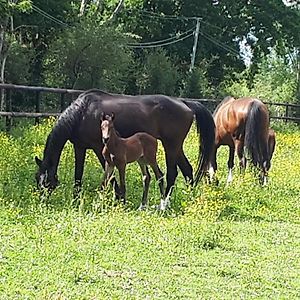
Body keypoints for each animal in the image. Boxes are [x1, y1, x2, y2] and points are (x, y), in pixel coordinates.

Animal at [34, 89, 216, 205]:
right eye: (37, 179)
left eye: (47, 182)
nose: (42, 202)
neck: (83, 113)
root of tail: (185, 103)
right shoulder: (80, 147)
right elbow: (78, 175)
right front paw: (76, 199)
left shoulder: (99, 149)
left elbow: (110, 176)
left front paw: (118, 198)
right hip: (176, 147)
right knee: (187, 169)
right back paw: (188, 197)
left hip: (171, 145)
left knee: (172, 173)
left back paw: (165, 202)